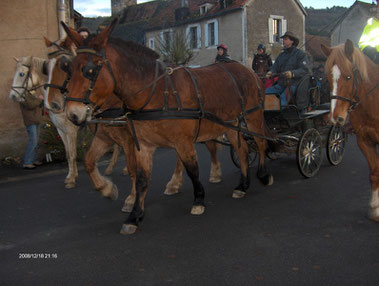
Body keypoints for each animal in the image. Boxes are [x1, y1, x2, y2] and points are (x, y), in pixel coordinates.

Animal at [60, 20, 272, 235]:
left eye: (90, 70)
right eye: (69, 68)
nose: (72, 114)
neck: (157, 92)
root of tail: (248, 71)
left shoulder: (182, 142)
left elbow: (192, 170)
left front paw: (198, 199)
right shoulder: (143, 145)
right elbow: (141, 178)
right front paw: (133, 215)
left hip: (253, 117)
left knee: (261, 143)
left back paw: (263, 174)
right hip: (231, 124)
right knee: (242, 150)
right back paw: (242, 185)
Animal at [322, 38, 379, 221]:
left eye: (348, 77)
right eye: (327, 77)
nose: (336, 117)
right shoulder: (365, 141)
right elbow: (374, 173)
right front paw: (375, 208)